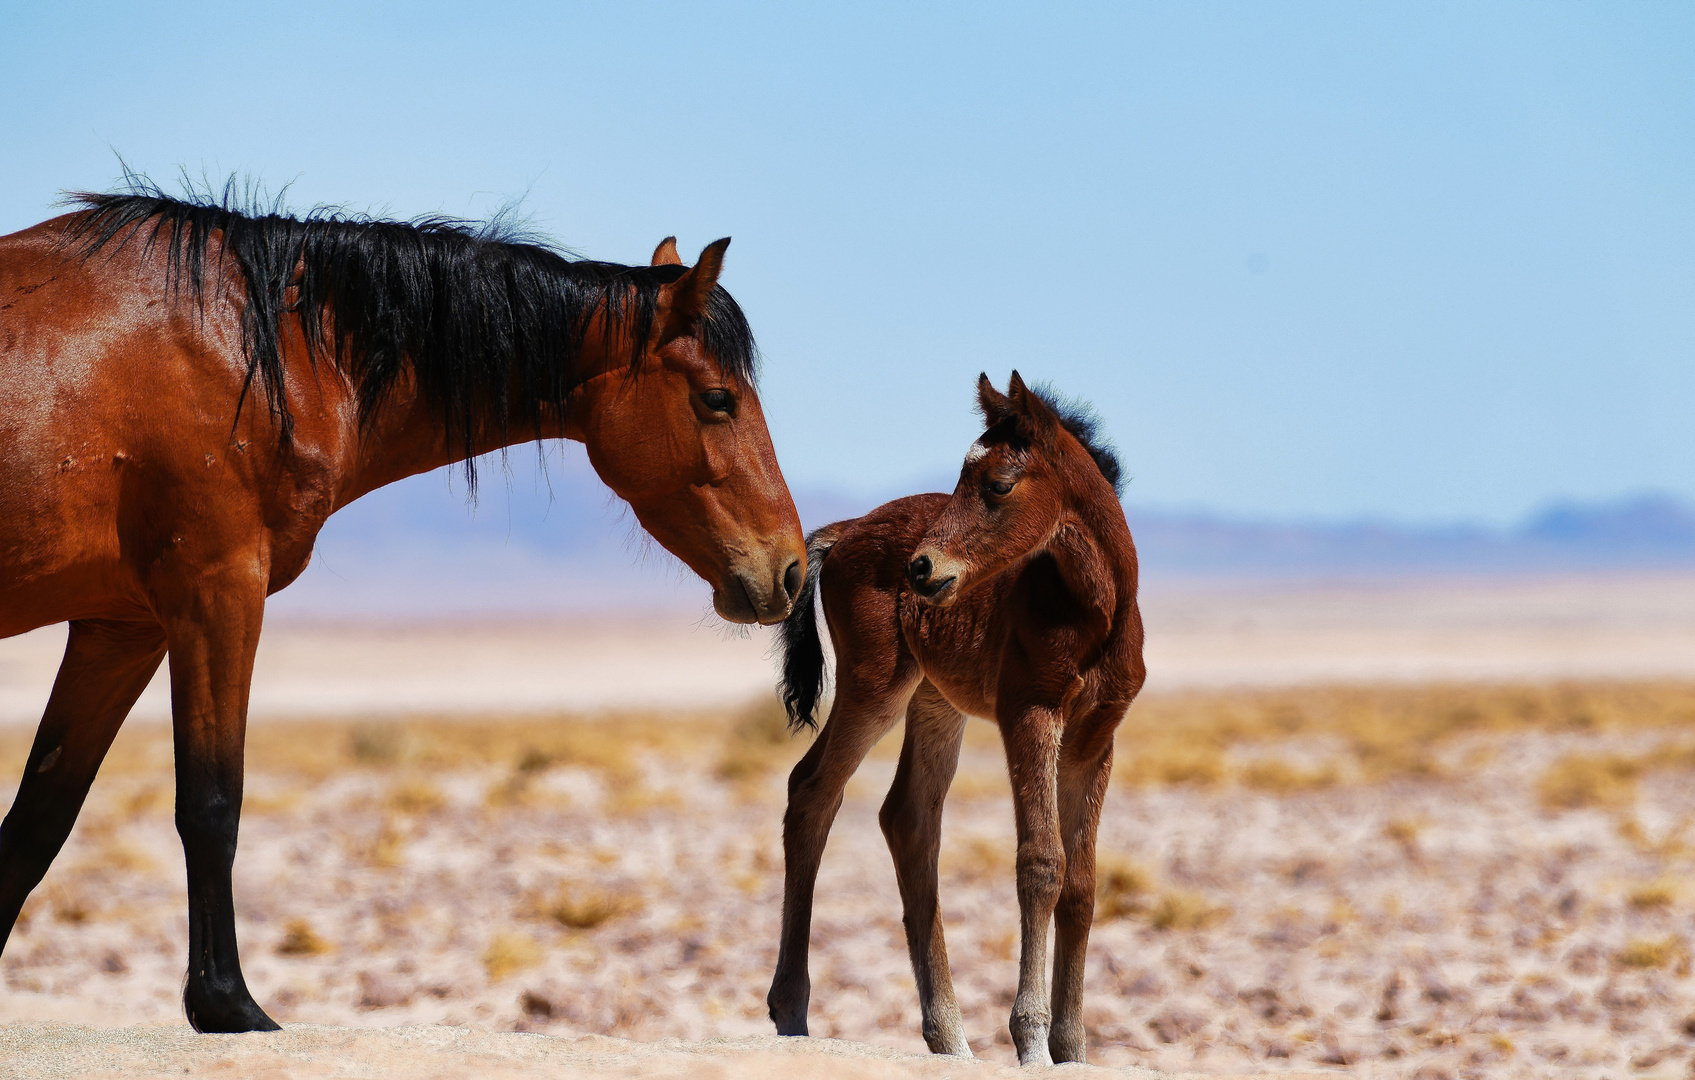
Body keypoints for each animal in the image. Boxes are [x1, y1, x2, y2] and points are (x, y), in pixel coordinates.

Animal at [0, 183, 803, 1030]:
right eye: (716, 399)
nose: (788, 570)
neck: (271, 350)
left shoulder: (122, 626)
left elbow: (37, 824)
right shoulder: (215, 590)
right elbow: (212, 804)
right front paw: (228, 1004)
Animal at [772, 371, 1145, 1064]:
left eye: (998, 484)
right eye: (958, 479)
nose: (921, 568)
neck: (1093, 614)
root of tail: (848, 529)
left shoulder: (1096, 737)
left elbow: (1082, 883)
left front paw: (1072, 1047)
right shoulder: (1030, 714)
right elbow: (1041, 863)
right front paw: (1031, 1042)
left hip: (935, 700)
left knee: (909, 819)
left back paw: (949, 1037)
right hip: (876, 687)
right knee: (812, 791)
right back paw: (791, 1013)